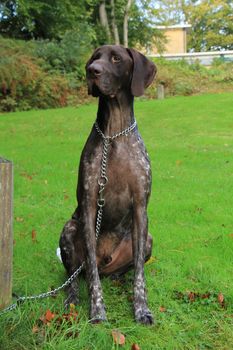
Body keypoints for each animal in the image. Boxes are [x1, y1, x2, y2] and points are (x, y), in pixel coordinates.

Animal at [59, 45, 156, 324]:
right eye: (94, 58)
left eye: (116, 58)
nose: (92, 71)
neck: (114, 133)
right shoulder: (90, 207)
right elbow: (91, 273)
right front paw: (97, 310)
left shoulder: (140, 208)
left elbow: (139, 275)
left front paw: (141, 308)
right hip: (70, 228)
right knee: (74, 277)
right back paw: (72, 300)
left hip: (147, 240)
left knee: (124, 270)